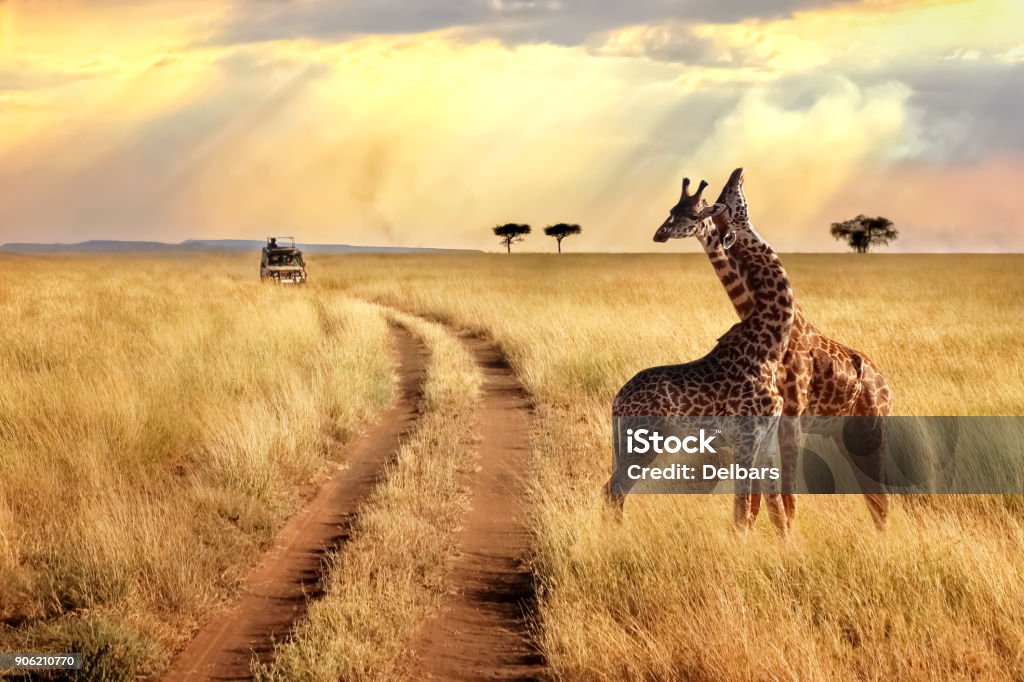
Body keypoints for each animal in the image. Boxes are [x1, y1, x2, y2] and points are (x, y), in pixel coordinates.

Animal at [610, 169, 794, 532]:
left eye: (699, 210)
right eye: (728, 201)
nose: (737, 173)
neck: (770, 344)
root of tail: (617, 399)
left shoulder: (767, 438)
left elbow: (776, 512)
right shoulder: (746, 438)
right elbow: (741, 512)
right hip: (645, 440)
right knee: (615, 489)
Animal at [655, 166, 888, 528]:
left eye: (697, 211)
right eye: (673, 209)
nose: (737, 172)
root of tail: (886, 382)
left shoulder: (791, 418)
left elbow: (782, 499)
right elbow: (761, 500)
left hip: (869, 430)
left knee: (881, 498)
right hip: (844, 434)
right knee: (875, 497)